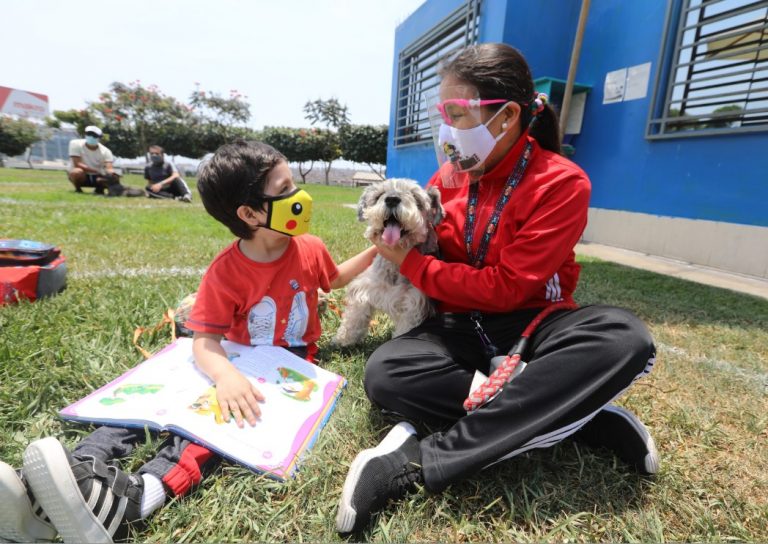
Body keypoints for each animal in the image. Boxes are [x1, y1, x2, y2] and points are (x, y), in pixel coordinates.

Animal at [334, 180, 444, 348]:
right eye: (379, 194)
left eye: (415, 196)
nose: (392, 199)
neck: (394, 267)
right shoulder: (365, 288)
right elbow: (354, 316)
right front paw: (343, 340)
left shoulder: (412, 305)